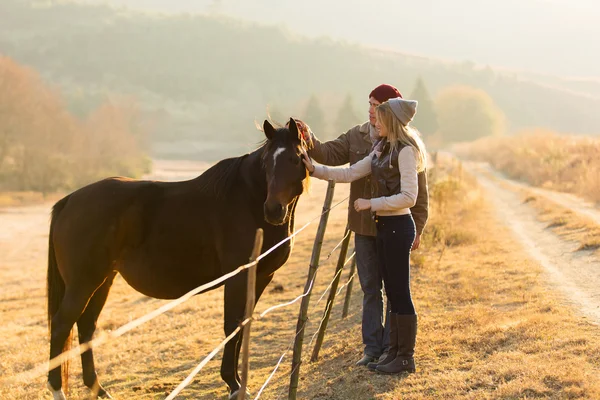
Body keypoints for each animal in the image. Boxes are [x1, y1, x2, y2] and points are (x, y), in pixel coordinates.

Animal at [44, 117, 312, 398]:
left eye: (295, 159)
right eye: (266, 162)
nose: (273, 210)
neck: (248, 202)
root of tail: (69, 200)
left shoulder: (261, 277)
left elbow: (243, 325)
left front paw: (239, 382)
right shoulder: (238, 277)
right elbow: (232, 326)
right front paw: (233, 384)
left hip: (103, 280)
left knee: (86, 326)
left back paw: (98, 389)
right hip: (83, 283)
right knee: (62, 325)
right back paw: (58, 389)